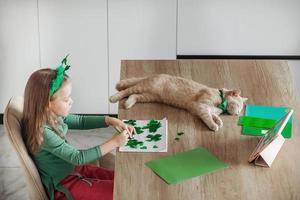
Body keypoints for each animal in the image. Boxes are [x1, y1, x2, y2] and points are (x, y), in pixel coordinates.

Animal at [109, 74, 247, 131]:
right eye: (238, 106)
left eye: (240, 109)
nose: (237, 114)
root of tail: (154, 75)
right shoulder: (201, 107)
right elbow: (208, 118)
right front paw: (214, 125)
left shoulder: (207, 110)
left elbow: (214, 116)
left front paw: (219, 121)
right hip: (143, 88)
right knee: (127, 90)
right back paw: (114, 98)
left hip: (148, 96)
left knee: (133, 95)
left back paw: (128, 103)